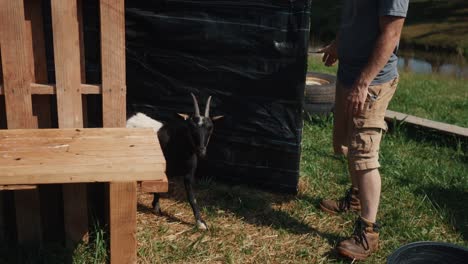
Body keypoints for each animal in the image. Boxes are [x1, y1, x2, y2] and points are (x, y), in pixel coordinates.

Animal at [125, 94, 222, 229]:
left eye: (210, 127)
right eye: (191, 127)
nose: (201, 151)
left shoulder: (189, 173)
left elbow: (192, 197)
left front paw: (200, 223)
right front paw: (156, 207)